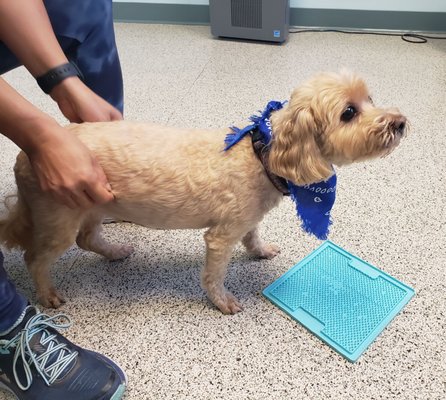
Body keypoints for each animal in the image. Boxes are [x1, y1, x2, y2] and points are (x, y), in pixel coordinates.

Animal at [0, 72, 406, 314]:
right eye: (349, 112)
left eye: (371, 99)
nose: (401, 122)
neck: (262, 153)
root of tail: (25, 156)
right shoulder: (221, 236)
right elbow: (213, 274)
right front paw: (222, 301)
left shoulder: (248, 219)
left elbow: (253, 236)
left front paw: (260, 250)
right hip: (59, 217)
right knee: (35, 257)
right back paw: (47, 293)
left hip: (93, 204)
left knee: (87, 239)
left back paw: (114, 251)